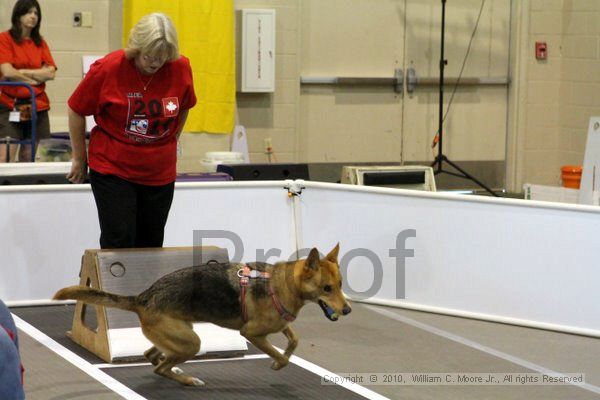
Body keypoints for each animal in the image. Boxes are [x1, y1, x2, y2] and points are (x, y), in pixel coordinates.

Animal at [55, 244, 352, 384]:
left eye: (340, 285)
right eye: (327, 288)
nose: (347, 310)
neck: (281, 285)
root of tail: (143, 297)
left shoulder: (280, 324)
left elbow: (293, 340)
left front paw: (285, 355)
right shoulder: (252, 333)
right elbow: (281, 355)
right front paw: (278, 364)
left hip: (179, 336)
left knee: (153, 357)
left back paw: (173, 367)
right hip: (191, 342)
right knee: (159, 366)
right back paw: (187, 379)